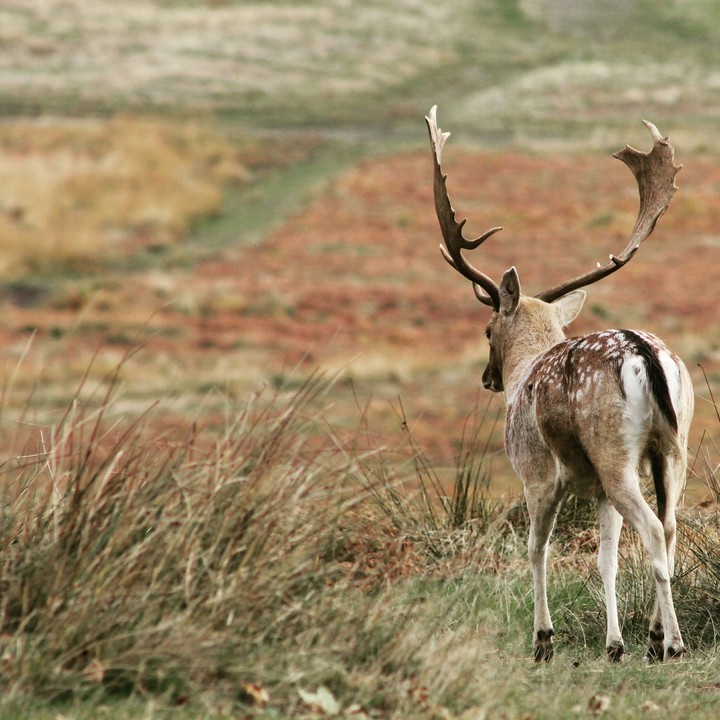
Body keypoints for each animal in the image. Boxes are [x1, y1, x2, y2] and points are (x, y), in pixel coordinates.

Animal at [425, 106, 694, 663]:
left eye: (486, 329)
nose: (488, 378)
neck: (526, 367)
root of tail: (644, 352)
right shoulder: (596, 490)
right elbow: (606, 558)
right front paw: (614, 644)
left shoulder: (535, 473)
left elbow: (536, 549)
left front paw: (542, 640)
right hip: (675, 445)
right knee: (672, 526)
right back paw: (654, 634)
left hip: (614, 452)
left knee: (654, 532)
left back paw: (673, 643)